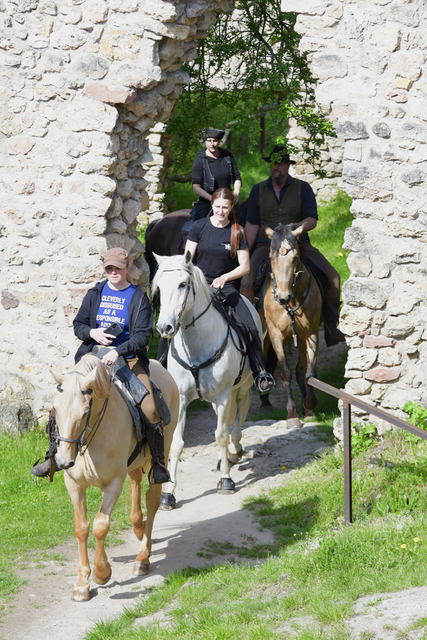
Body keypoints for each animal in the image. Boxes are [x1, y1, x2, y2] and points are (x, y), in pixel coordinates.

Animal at [51, 356, 179, 600]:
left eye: (84, 412)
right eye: (55, 411)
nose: (62, 461)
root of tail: (161, 368)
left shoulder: (113, 484)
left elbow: (100, 525)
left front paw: (102, 573)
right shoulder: (74, 485)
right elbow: (81, 528)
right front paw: (82, 584)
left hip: (163, 450)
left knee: (152, 499)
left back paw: (142, 558)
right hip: (134, 462)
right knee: (137, 485)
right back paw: (138, 527)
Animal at [152, 252, 262, 508]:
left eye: (183, 284)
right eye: (160, 287)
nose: (164, 327)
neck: (196, 343)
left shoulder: (223, 394)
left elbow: (221, 435)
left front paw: (226, 481)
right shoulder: (182, 399)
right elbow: (177, 443)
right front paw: (169, 493)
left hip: (242, 386)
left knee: (239, 414)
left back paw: (235, 450)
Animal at [262, 222, 322, 428]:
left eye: (295, 257)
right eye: (271, 258)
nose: (283, 297)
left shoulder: (311, 333)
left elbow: (309, 373)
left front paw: (309, 406)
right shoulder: (275, 335)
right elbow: (285, 372)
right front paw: (292, 414)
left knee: (301, 369)